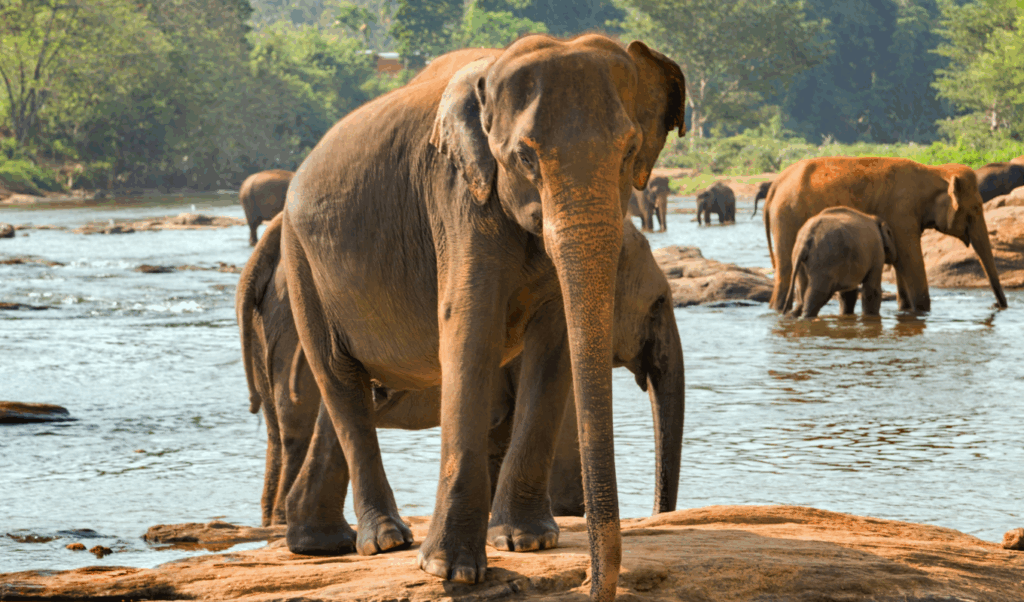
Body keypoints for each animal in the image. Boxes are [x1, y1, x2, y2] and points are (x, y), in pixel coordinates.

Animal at [765, 157, 1007, 313]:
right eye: (976, 208)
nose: (997, 306)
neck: (935, 171)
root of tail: (775, 185)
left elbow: (902, 264)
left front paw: (906, 310)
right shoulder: (901, 213)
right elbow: (910, 261)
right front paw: (922, 311)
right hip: (787, 217)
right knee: (785, 272)